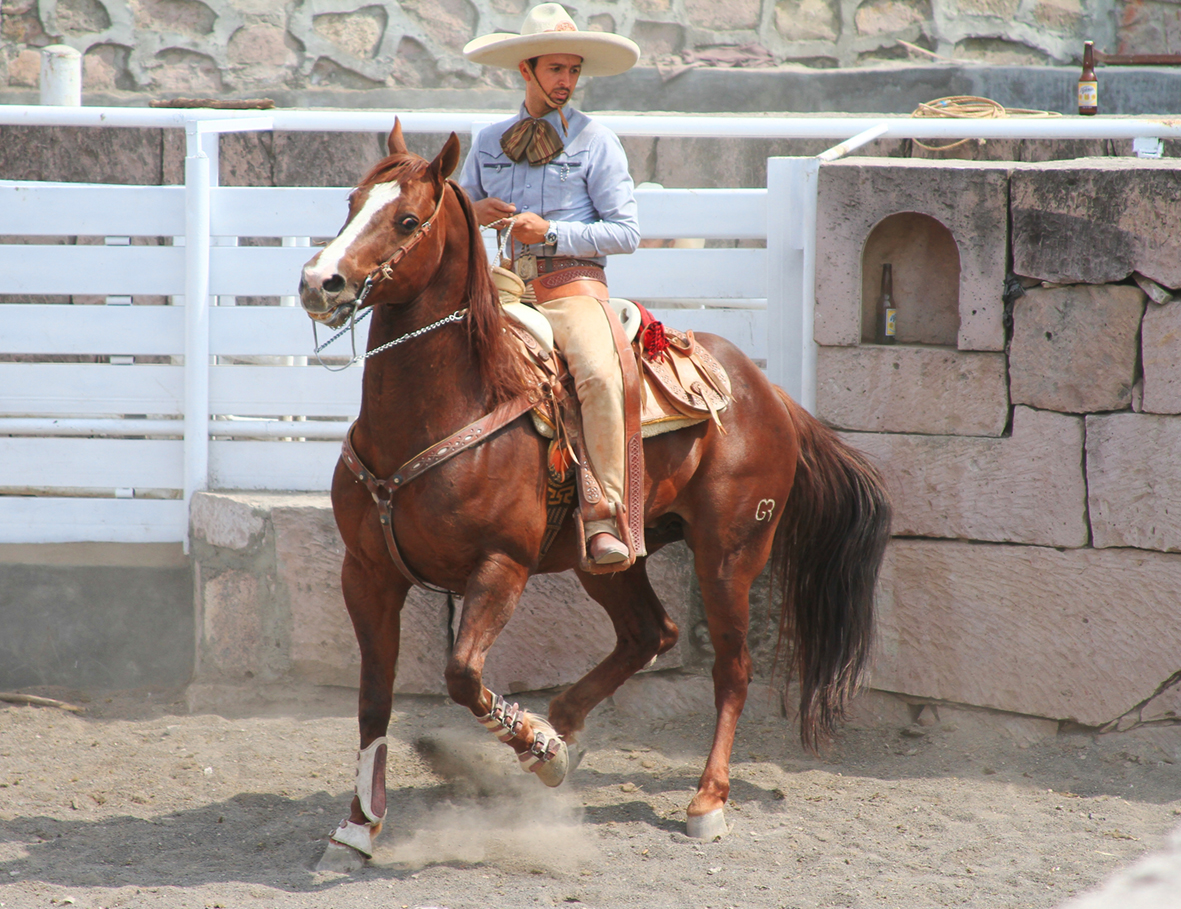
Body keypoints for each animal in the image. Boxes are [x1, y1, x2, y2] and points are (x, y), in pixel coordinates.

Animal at [299, 123, 888, 868]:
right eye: (350, 203)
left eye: (406, 219)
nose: (318, 282)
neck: (447, 405)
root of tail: (768, 392)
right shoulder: (368, 572)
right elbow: (374, 698)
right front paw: (355, 828)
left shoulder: (501, 566)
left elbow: (461, 672)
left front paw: (538, 747)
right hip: (608, 555)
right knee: (649, 631)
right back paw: (563, 729)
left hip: (730, 554)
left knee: (732, 668)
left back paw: (702, 799)